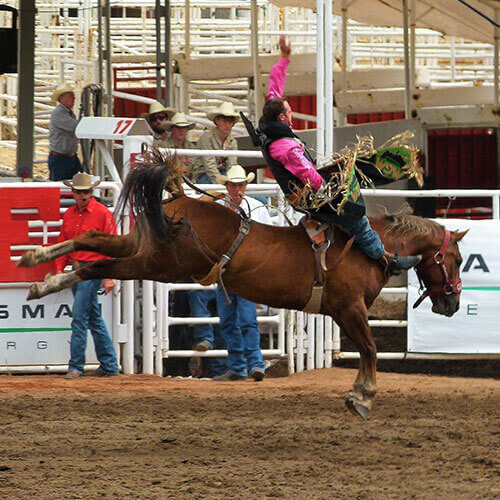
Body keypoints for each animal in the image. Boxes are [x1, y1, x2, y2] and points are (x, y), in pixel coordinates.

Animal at [18, 154, 464, 420]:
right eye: (456, 259)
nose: (454, 304)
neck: (372, 247)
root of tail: (178, 201)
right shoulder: (350, 308)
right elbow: (370, 349)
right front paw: (362, 397)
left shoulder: (344, 313)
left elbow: (367, 350)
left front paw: (358, 394)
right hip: (159, 263)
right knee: (101, 264)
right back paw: (46, 273)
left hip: (143, 246)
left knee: (93, 239)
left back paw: (40, 268)